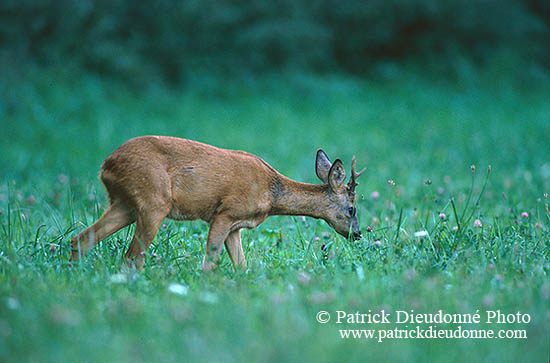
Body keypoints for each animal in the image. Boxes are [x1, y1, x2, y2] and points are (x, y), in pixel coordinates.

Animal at [72, 137, 366, 272]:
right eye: (352, 209)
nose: (358, 234)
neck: (271, 194)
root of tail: (106, 164)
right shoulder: (224, 212)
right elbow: (210, 261)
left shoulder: (236, 225)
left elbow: (242, 266)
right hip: (154, 201)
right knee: (133, 256)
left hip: (126, 204)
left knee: (81, 238)